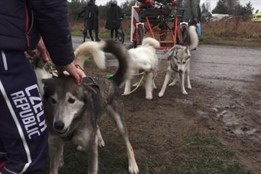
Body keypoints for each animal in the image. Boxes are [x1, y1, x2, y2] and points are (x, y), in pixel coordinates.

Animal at [41, 40, 138, 174]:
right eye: (53, 101)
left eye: (71, 100)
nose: (58, 125)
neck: (73, 125)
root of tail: (111, 81)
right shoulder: (54, 145)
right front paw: (60, 160)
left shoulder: (92, 150)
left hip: (119, 122)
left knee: (128, 143)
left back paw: (133, 165)